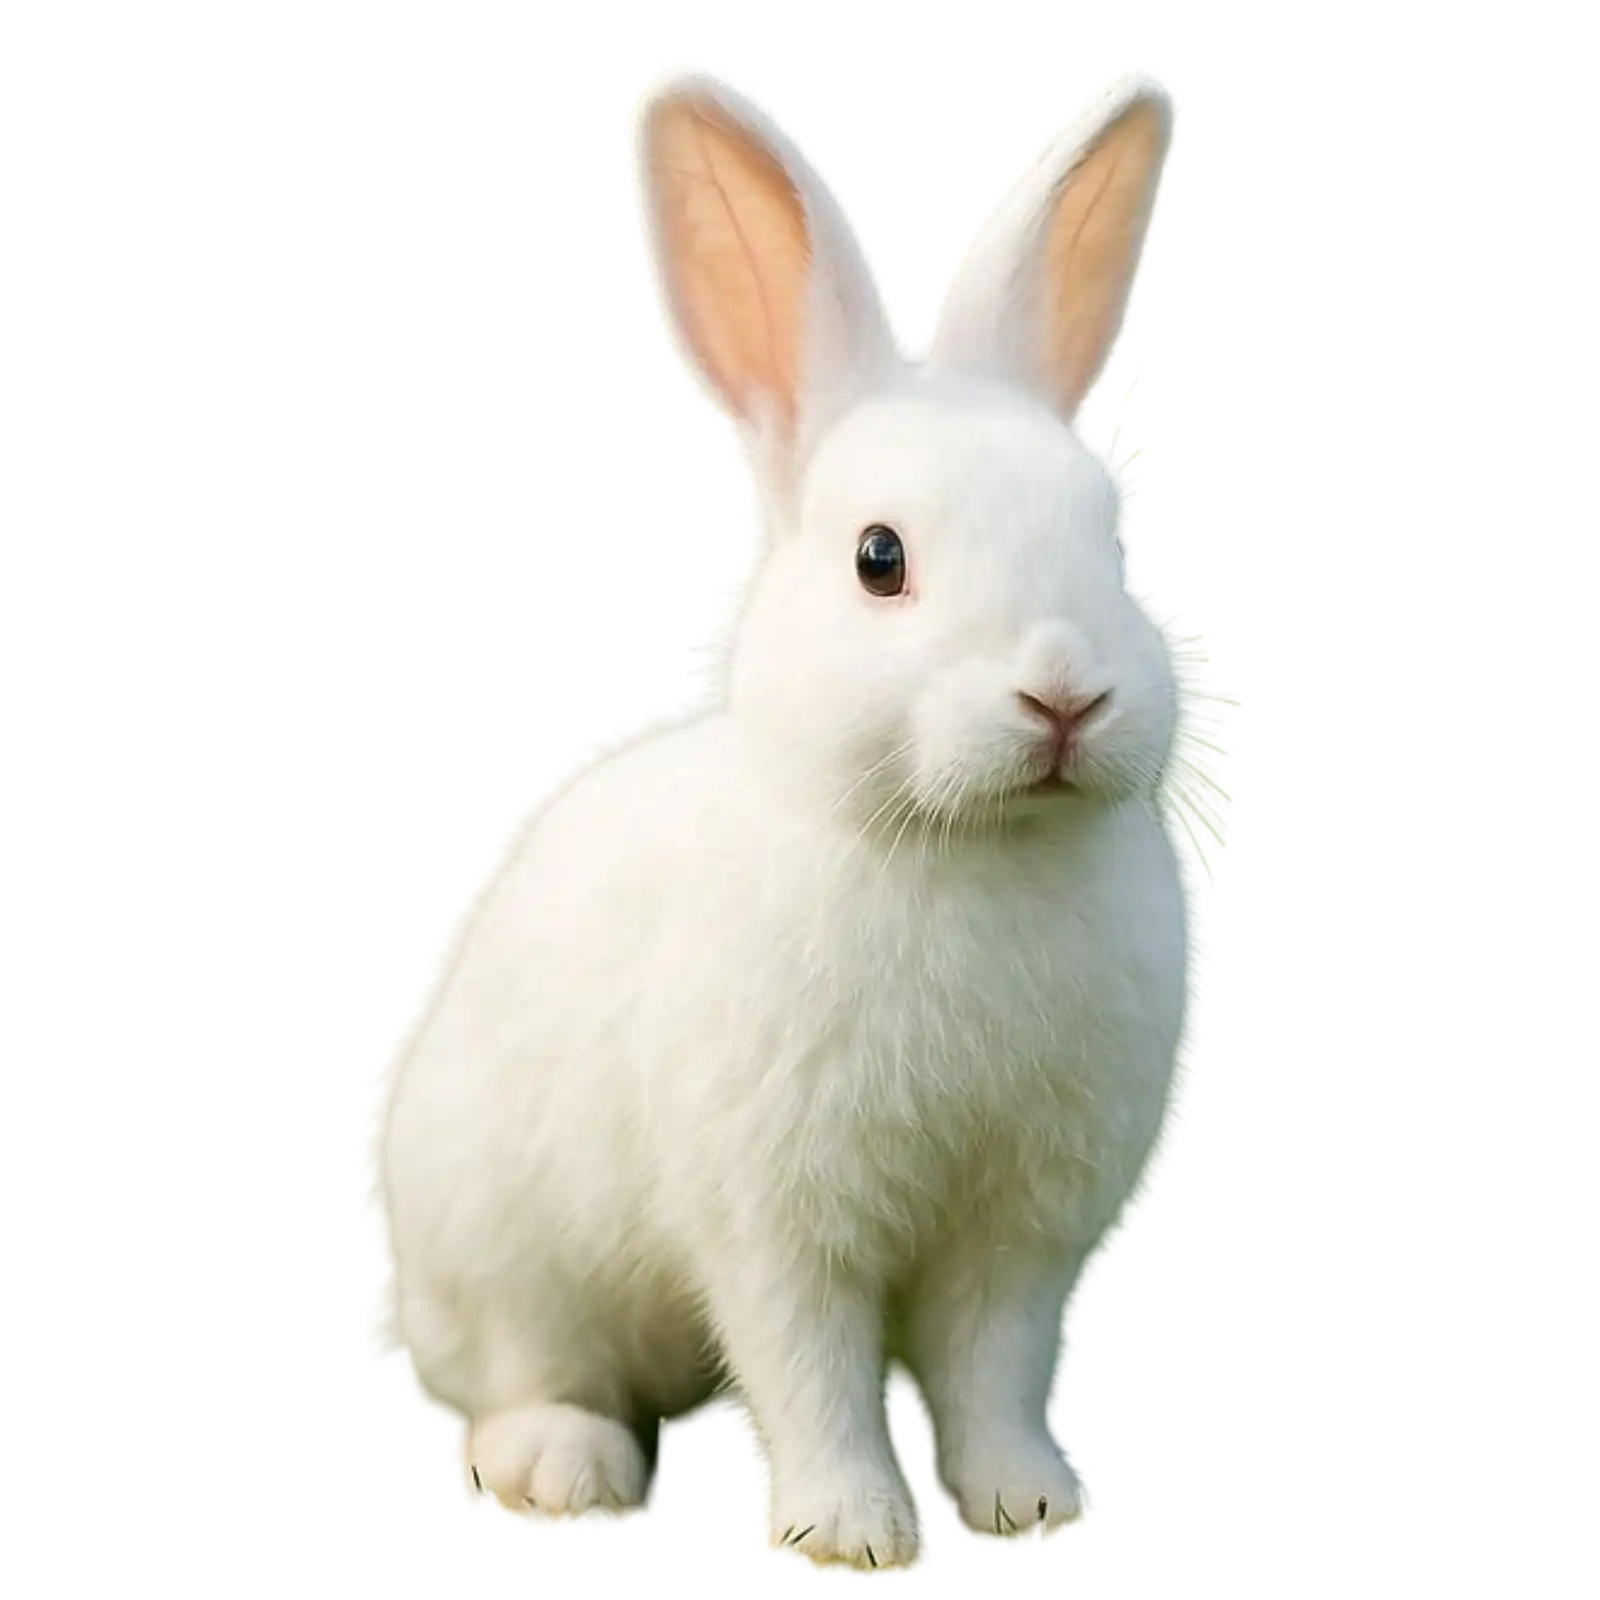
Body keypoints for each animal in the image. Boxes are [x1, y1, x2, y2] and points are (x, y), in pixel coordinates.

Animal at [359, 53, 1237, 1580]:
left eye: (1117, 539)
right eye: (879, 559)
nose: (1064, 694)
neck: (960, 846)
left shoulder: (1022, 1236)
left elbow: (997, 1372)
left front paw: (1030, 1510)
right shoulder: (775, 1216)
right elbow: (808, 1368)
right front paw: (855, 1539)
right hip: (500, 1244)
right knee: (520, 1377)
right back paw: (562, 1470)